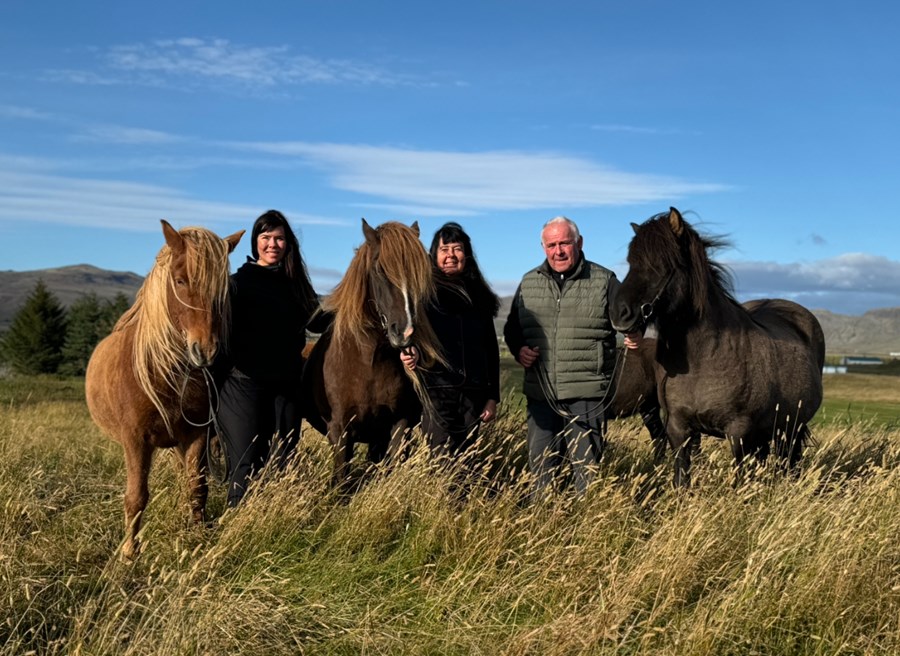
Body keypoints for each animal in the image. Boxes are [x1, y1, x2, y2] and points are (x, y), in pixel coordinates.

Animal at [85, 222, 243, 560]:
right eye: (180, 280)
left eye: (223, 289)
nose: (205, 351)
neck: (165, 373)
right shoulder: (135, 440)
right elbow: (136, 496)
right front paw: (130, 552)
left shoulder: (197, 435)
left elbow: (196, 486)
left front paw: (196, 533)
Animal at [302, 220, 442, 486]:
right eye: (380, 269)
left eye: (418, 275)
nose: (405, 332)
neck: (369, 363)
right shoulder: (340, 431)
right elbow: (341, 481)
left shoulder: (399, 425)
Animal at [608, 209, 828, 486]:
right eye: (631, 262)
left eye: (663, 263)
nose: (619, 313)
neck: (705, 358)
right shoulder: (679, 429)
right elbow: (681, 478)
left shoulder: (739, 433)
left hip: (791, 428)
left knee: (790, 462)